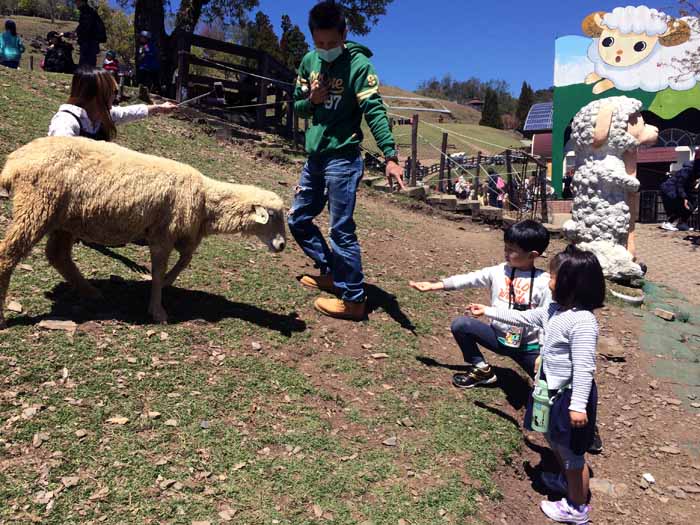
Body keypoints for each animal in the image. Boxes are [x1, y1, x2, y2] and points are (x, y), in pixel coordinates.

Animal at [0, 138, 288, 328]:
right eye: (273, 216)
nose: (283, 245)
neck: (207, 201)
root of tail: (13, 162)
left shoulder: (184, 235)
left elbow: (185, 260)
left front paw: (167, 283)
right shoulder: (163, 235)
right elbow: (160, 270)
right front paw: (157, 309)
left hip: (65, 219)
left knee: (58, 255)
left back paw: (90, 291)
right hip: (37, 206)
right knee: (8, 255)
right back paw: (3, 315)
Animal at [560, 96, 660, 280]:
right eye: (638, 121)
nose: (657, 129)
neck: (592, 155)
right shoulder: (608, 166)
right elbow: (617, 176)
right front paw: (634, 183)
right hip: (607, 247)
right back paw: (631, 269)